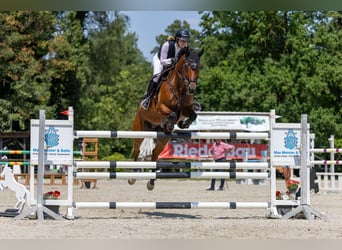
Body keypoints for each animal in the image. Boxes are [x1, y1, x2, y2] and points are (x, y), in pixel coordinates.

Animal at [132, 47, 203, 190]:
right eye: (187, 65)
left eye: (198, 66)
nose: (192, 89)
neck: (180, 87)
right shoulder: (161, 107)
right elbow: (172, 114)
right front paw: (169, 122)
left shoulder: (186, 109)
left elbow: (193, 115)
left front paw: (183, 124)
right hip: (139, 130)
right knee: (137, 150)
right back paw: (132, 177)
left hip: (163, 139)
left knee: (154, 154)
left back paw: (151, 182)